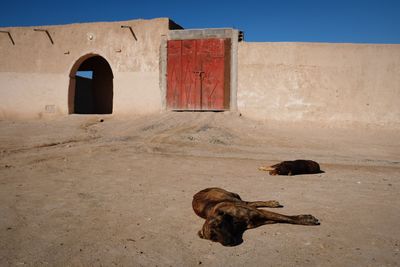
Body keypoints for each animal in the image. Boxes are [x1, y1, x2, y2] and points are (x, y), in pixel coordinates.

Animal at [192, 188, 320, 247]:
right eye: (213, 238)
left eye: (220, 225)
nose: (228, 243)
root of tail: (195, 195)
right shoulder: (263, 219)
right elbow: (282, 219)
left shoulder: (262, 213)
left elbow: (288, 218)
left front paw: (306, 219)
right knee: (252, 203)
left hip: (233, 196)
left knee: (250, 202)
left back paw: (272, 203)